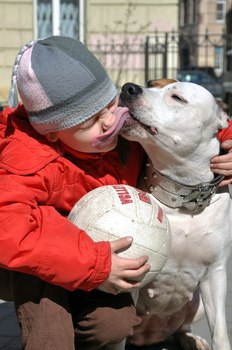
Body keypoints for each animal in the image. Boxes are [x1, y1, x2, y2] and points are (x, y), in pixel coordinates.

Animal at [118, 80, 232, 350]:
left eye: (177, 98)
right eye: (151, 84)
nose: (129, 87)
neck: (183, 197)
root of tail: (152, 334)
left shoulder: (216, 273)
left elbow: (221, 333)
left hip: (197, 302)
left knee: (182, 327)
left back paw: (192, 339)